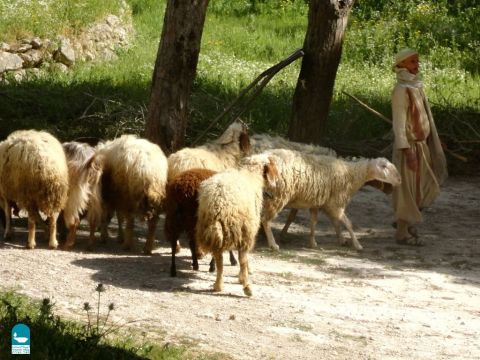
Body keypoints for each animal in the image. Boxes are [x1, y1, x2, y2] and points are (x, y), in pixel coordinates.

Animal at [194, 152, 278, 296]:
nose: (276, 182)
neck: (251, 176)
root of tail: (218, 203)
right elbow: (244, 259)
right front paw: (243, 276)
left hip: (213, 229)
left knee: (219, 260)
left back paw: (218, 285)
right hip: (243, 230)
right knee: (241, 258)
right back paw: (247, 287)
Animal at [258, 148, 402, 250]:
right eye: (384, 166)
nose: (400, 180)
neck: (352, 174)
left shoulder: (317, 202)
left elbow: (316, 222)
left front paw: (314, 242)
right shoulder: (335, 203)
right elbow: (347, 223)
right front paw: (357, 244)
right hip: (277, 196)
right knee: (265, 219)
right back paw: (272, 244)